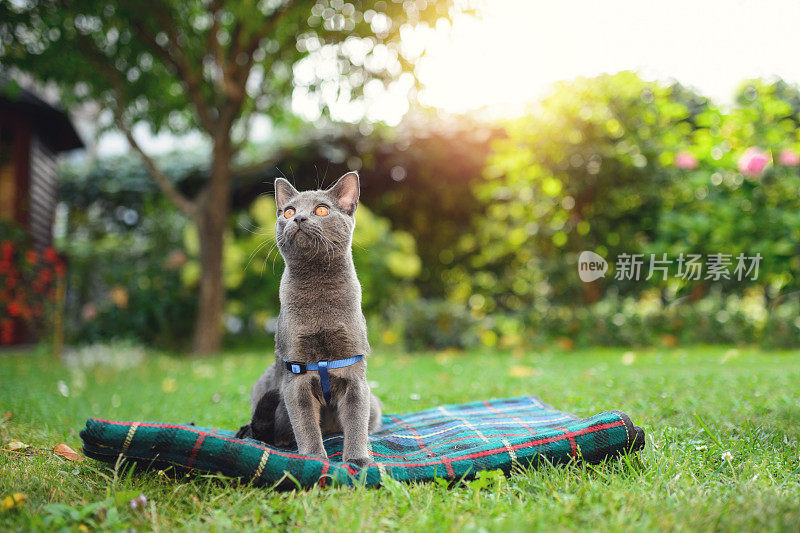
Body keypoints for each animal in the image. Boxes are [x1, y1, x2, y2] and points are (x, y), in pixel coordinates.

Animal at [236, 171, 382, 466]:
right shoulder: (297, 374)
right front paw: (313, 458)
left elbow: (356, 423)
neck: (319, 297)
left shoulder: (354, 374)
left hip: (374, 405)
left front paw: (358, 460)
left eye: (322, 210)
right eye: (289, 211)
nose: (298, 218)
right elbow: (305, 425)